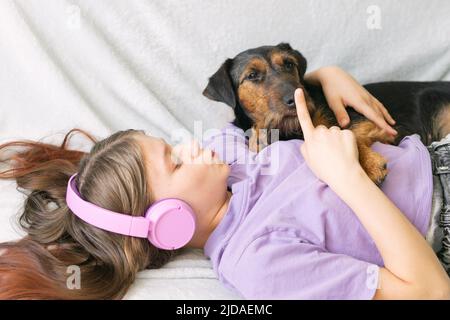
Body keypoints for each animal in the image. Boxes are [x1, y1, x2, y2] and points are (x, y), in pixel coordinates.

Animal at [204, 42, 450, 185]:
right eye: (252, 75)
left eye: (289, 64)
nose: (296, 98)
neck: (294, 130)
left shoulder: (378, 125)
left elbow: (348, 132)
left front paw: (369, 164)